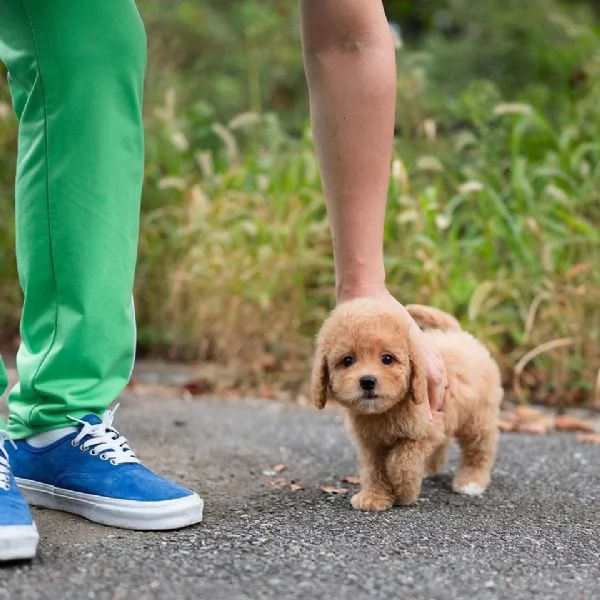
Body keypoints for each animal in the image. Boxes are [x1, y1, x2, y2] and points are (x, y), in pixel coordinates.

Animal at [312, 298, 504, 510]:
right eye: (347, 360)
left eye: (387, 358)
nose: (368, 381)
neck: (385, 411)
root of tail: (458, 334)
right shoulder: (371, 443)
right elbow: (373, 469)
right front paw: (374, 496)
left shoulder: (423, 431)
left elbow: (401, 461)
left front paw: (403, 492)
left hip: (478, 416)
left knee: (479, 448)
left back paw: (471, 481)